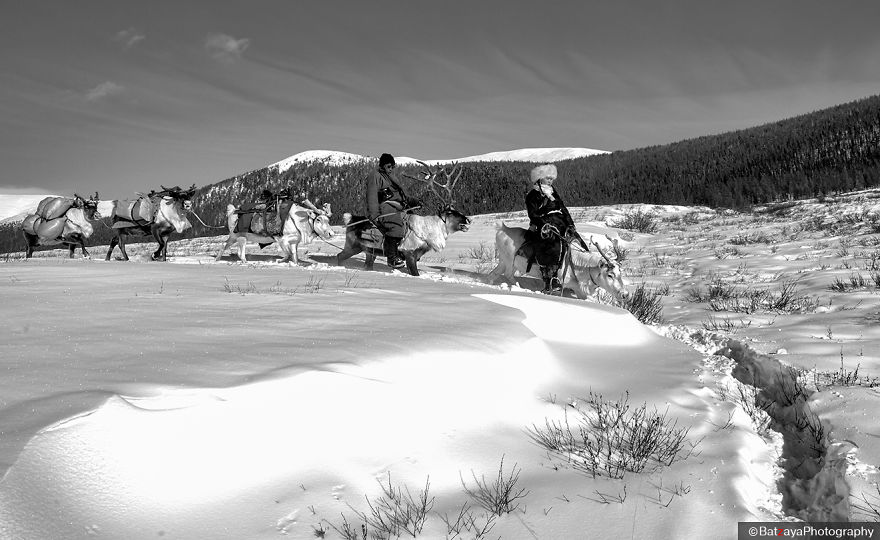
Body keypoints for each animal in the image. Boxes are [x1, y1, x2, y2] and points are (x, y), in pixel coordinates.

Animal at [337, 161, 471, 276]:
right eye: (451, 212)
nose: (468, 220)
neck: (428, 232)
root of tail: (350, 218)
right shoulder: (409, 252)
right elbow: (415, 274)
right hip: (353, 246)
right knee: (339, 256)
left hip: (369, 251)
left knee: (367, 265)